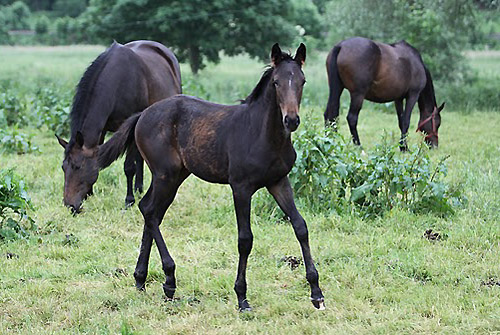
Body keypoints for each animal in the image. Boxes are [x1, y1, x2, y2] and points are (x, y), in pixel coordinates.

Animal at [56, 39, 182, 213]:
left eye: (77, 167)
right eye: (63, 167)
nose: (70, 206)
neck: (118, 81)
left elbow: (129, 167)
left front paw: (129, 201)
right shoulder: (101, 130)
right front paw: (90, 194)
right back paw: (139, 188)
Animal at [98, 44, 326, 312]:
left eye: (302, 81)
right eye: (277, 82)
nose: (291, 120)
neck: (262, 134)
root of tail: (143, 114)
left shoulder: (278, 181)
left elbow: (300, 227)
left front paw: (316, 293)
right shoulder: (241, 187)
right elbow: (245, 239)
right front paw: (241, 297)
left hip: (173, 176)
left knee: (148, 209)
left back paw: (141, 279)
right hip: (166, 175)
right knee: (151, 212)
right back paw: (169, 280)